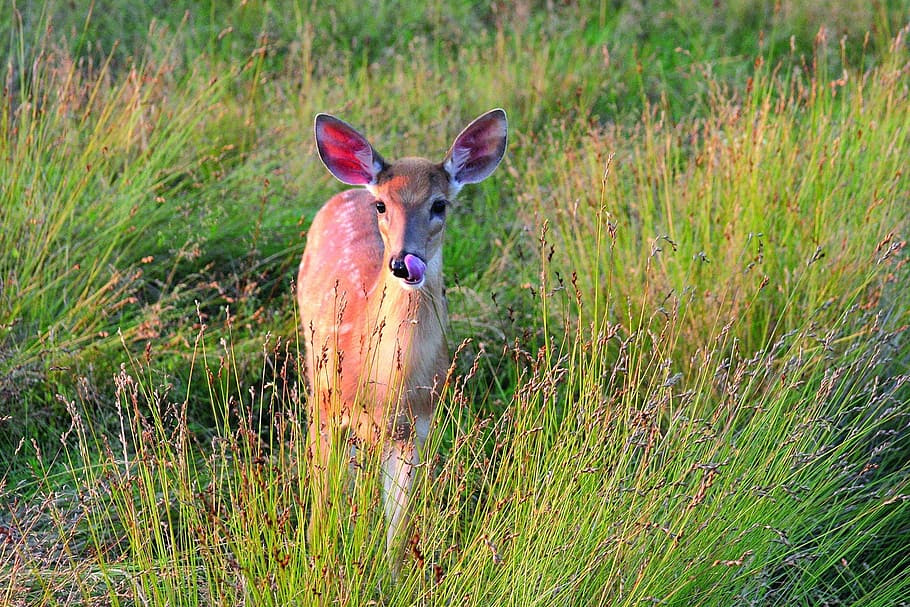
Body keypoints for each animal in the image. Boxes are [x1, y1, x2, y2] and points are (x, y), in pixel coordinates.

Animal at [297, 109, 508, 575]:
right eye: (382, 205)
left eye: (440, 205)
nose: (401, 262)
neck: (385, 388)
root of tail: (349, 190)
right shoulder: (328, 406)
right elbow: (323, 500)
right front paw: (319, 562)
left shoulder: (418, 427)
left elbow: (401, 524)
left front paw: (391, 577)